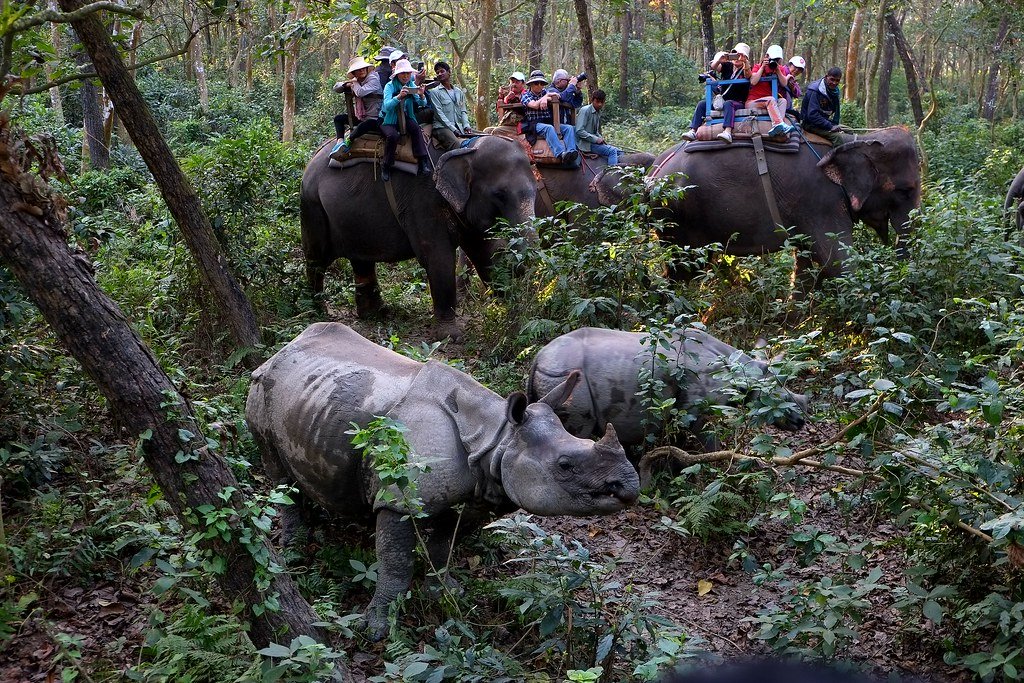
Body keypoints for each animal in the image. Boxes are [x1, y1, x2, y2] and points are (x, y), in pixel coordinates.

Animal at [245, 323, 638, 640]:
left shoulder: (462, 496)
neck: (497, 438)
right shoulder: (398, 498)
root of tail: (283, 349)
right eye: (565, 465)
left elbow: (442, 548)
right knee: (277, 471)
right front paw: (378, 629)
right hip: (262, 390)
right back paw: (295, 547)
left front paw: (446, 592)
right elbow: (396, 562)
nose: (629, 486)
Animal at [528, 327, 808, 450]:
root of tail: (539, 356)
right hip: (565, 375)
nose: (801, 421)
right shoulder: (697, 409)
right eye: (775, 395)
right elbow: (708, 444)